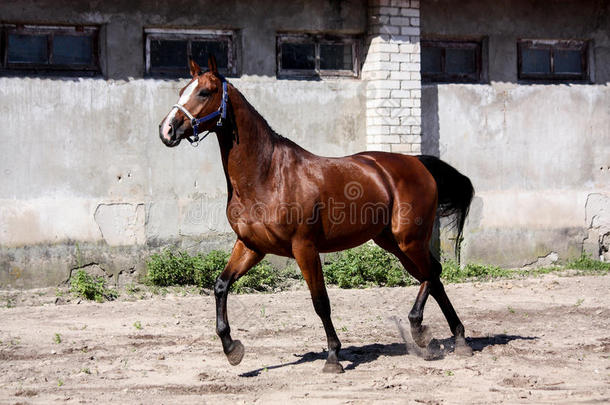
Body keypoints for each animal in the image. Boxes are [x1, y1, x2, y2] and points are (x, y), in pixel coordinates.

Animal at [159, 56, 472, 372]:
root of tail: (417, 164)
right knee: (432, 276)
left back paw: (427, 330)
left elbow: (320, 301)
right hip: (393, 243)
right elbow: (221, 285)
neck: (267, 174)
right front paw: (232, 348)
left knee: (432, 273)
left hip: (409, 240)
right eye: (182, 91)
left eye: (204, 92)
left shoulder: (304, 247)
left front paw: (333, 356)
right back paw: (449, 338)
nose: (167, 130)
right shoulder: (251, 246)